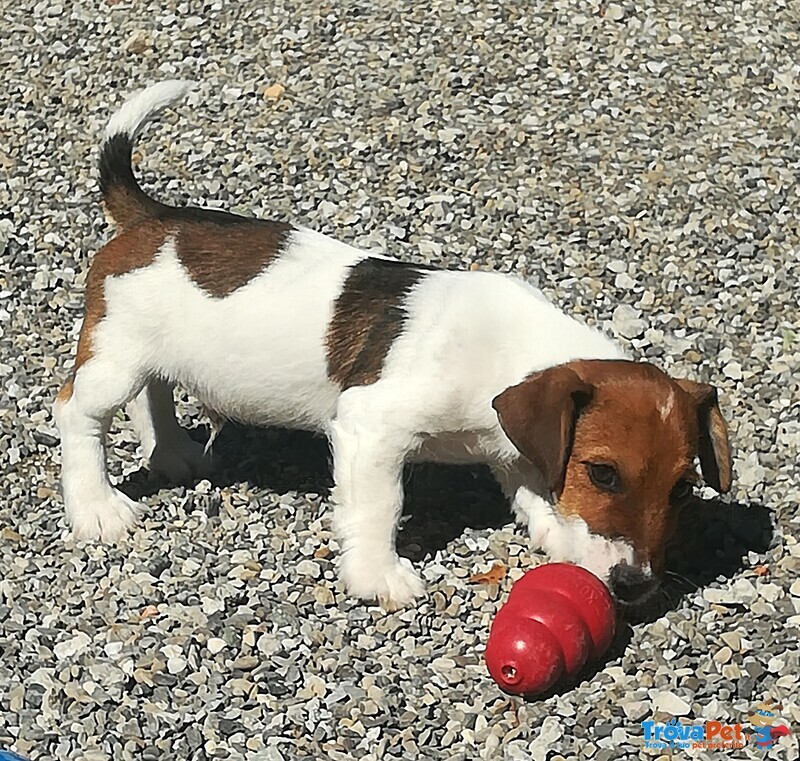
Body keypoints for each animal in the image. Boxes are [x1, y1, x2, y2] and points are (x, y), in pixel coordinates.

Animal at [53, 80, 736, 608]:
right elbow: (381, 507)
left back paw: (171, 453)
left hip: (147, 354)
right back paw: (97, 508)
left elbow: (536, 489)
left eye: (681, 490)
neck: (511, 353)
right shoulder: (371, 429)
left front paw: (557, 535)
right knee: (77, 411)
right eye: (604, 474)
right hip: (114, 359)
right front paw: (378, 577)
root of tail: (151, 217)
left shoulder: (508, 442)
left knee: (154, 395)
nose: (634, 587)